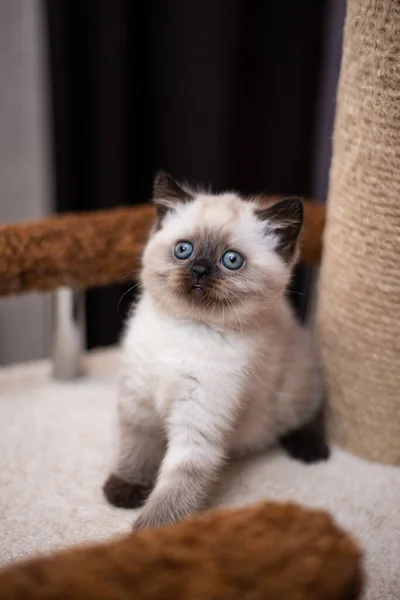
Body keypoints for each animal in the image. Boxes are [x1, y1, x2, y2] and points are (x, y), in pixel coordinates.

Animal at [102, 171, 328, 528]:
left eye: (231, 260)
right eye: (184, 250)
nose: (199, 270)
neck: (187, 330)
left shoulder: (199, 420)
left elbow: (175, 490)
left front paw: (146, 536)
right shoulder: (139, 402)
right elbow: (137, 449)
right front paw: (126, 490)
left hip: (299, 386)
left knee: (314, 411)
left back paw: (309, 450)